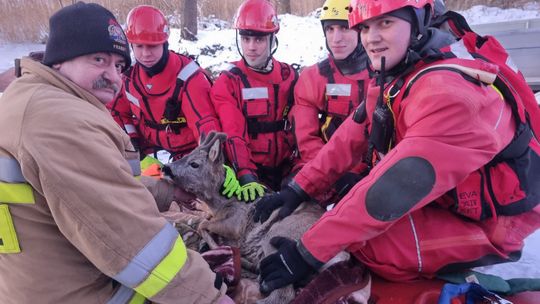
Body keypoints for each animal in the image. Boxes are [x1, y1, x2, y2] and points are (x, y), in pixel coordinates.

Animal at [162, 132, 326, 304]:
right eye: (185, 155)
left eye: (194, 164)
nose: (165, 168)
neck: (223, 201)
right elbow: (205, 220)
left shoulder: (236, 223)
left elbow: (203, 224)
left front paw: (215, 246)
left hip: (276, 235)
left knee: (284, 294)